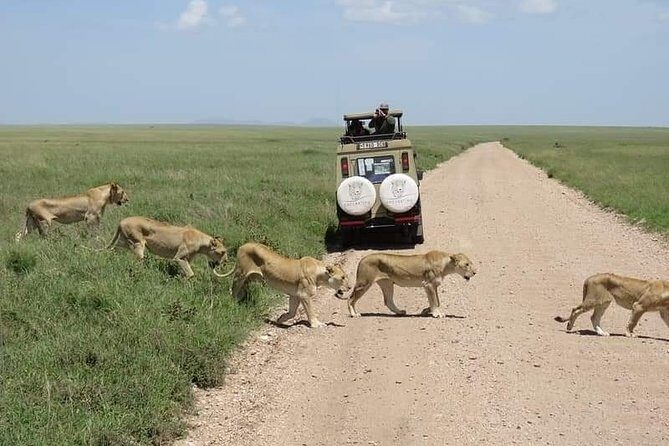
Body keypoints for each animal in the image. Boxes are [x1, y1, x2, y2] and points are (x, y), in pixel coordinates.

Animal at [345, 250, 476, 318]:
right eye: (467, 264)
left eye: (470, 263)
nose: (475, 272)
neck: (445, 265)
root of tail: (362, 259)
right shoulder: (428, 284)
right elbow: (434, 301)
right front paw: (436, 313)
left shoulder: (433, 286)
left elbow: (437, 301)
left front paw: (426, 310)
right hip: (364, 283)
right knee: (350, 299)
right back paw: (354, 314)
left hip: (387, 283)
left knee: (388, 301)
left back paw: (400, 312)